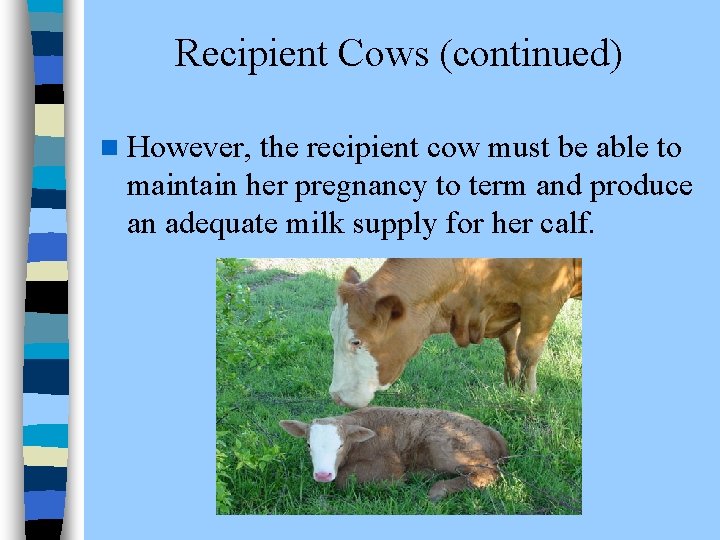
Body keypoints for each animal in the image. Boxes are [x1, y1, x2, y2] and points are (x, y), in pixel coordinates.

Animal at [279, 406, 508, 501]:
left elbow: (344, 480)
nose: (323, 475)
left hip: (447, 448)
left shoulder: (389, 464)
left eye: (341, 445)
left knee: (488, 473)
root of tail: (491, 432)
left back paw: (437, 490)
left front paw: (394, 483)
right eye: (308, 445)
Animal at [329, 258, 582, 408]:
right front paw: (511, 385)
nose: (336, 395)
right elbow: (510, 345)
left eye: (356, 341)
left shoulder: (543, 299)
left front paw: (527, 395)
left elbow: (528, 351)